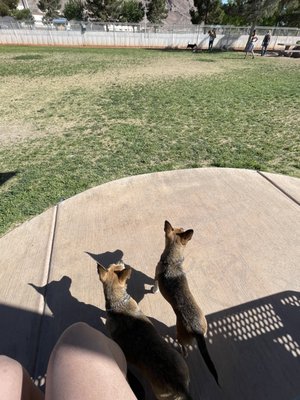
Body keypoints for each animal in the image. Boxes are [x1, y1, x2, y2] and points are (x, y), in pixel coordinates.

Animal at [154, 220, 219, 386]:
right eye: (180, 229)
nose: (183, 227)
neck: (172, 261)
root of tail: (197, 330)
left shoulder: (155, 275)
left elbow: (154, 284)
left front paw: (153, 290)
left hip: (180, 336)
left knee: (184, 348)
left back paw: (181, 351)